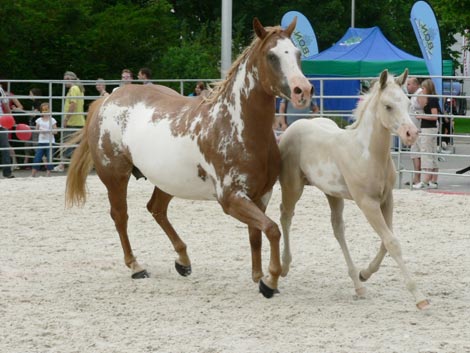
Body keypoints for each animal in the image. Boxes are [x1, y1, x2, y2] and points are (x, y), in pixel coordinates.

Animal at [64, 17, 310, 296]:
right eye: (272, 56)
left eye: (298, 53)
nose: (304, 90)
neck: (236, 126)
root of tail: (106, 100)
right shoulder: (231, 199)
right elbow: (272, 229)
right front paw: (270, 281)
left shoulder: (261, 195)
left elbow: (257, 234)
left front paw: (258, 277)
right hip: (115, 177)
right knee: (120, 216)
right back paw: (136, 266)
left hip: (166, 181)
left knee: (156, 209)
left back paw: (183, 260)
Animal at [280, 69, 430, 308]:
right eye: (388, 106)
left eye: (408, 102)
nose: (411, 133)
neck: (367, 153)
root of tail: (293, 126)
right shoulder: (367, 203)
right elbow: (392, 242)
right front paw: (419, 297)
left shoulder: (387, 199)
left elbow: (386, 241)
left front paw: (365, 273)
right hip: (292, 187)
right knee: (285, 217)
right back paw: (283, 267)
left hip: (332, 194)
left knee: (338, 229)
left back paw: (358, 284)